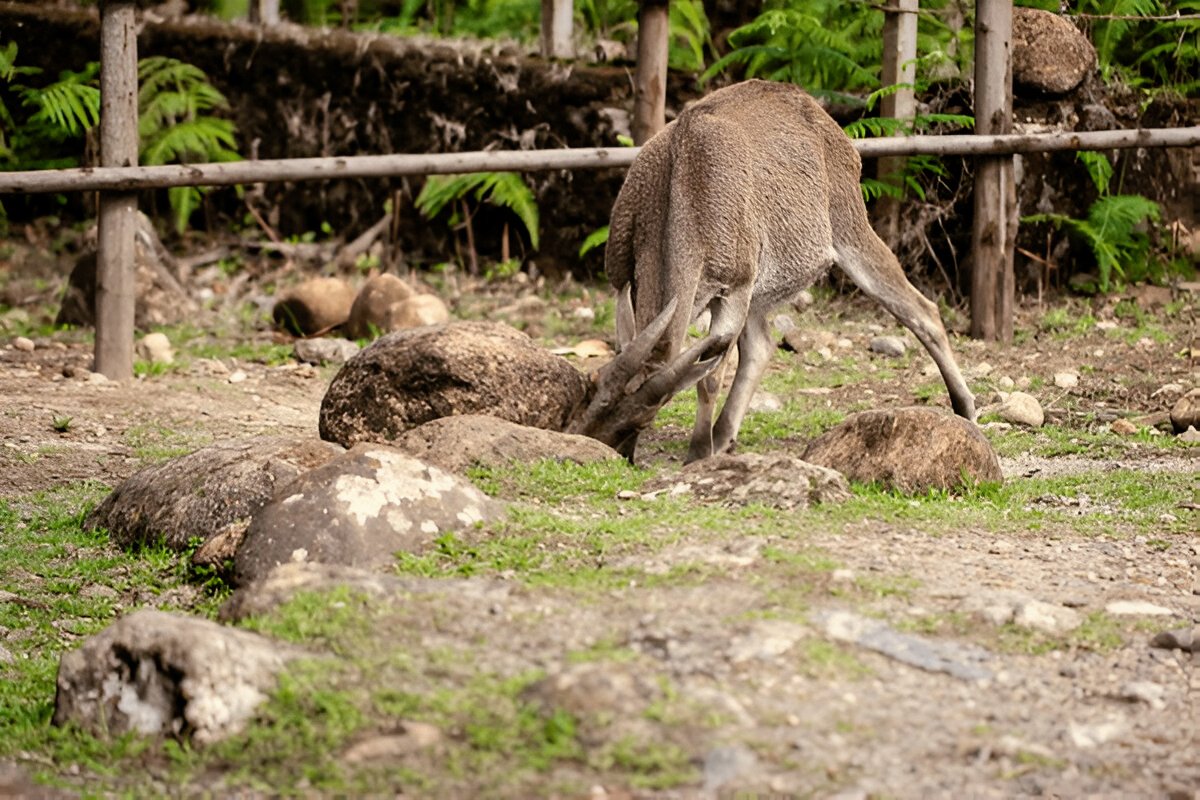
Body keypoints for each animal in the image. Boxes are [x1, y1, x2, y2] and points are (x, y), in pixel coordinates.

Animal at [568, 79, 974, 462]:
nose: (595, 443)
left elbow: (710, 378)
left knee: (922, 311)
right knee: (761, 345)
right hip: (764, 284)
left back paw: (966, 408)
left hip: (849, 228)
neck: (686, 187)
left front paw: (698, 452)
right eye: (592, 386)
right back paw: (725, 434)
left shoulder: (734, 286)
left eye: (643, 418)